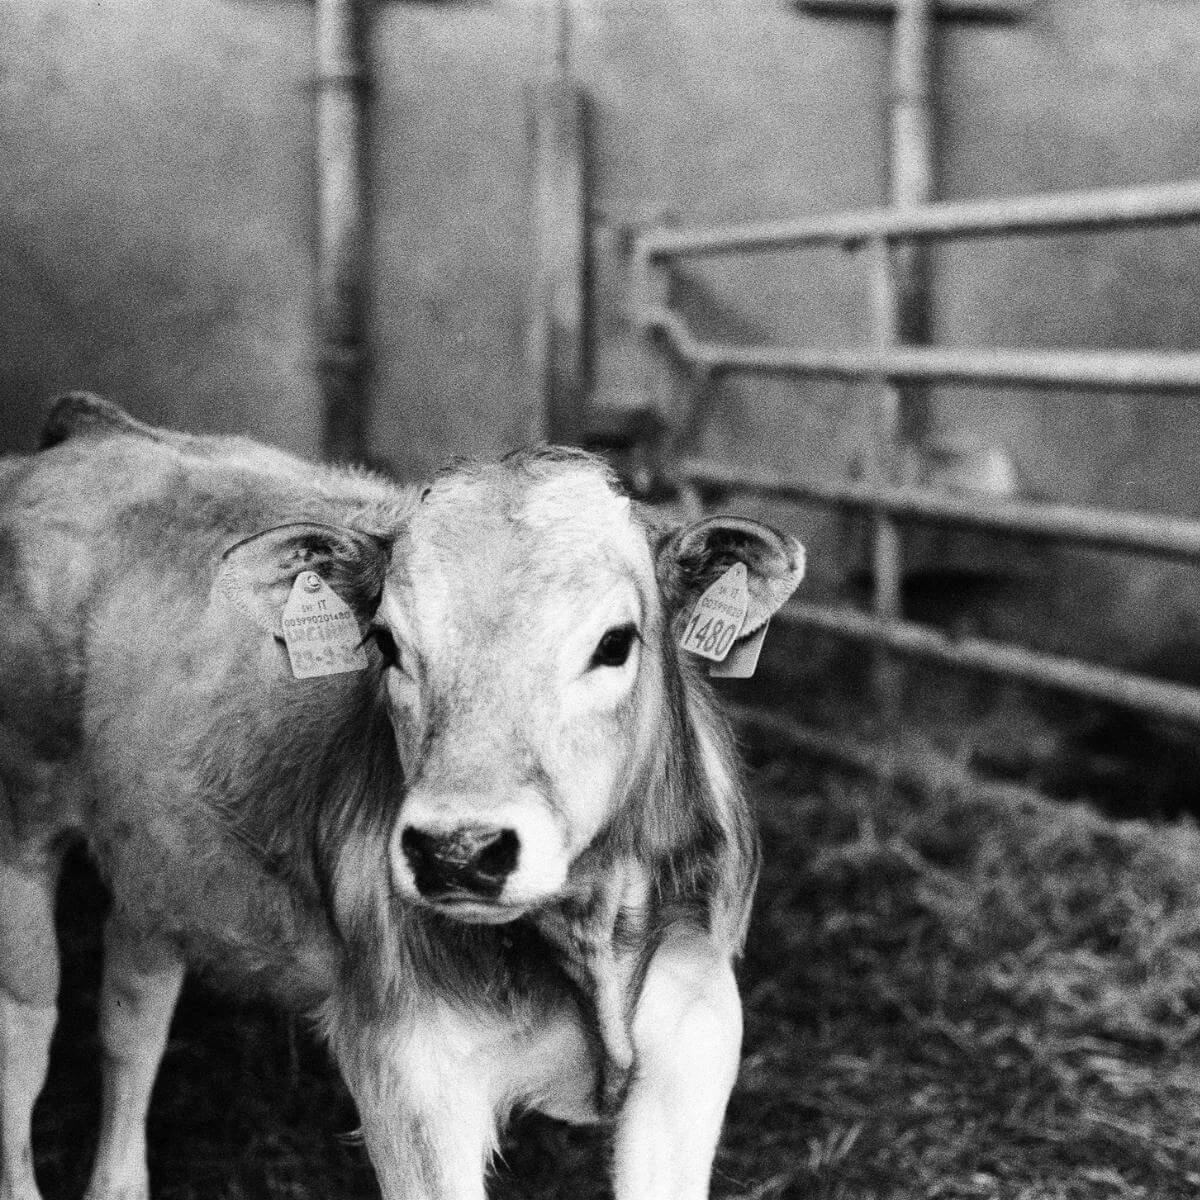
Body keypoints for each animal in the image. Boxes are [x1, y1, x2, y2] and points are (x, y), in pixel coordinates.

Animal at [0, 393, 805, 1200]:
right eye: (386, 643)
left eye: (615, 643)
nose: (458, 851)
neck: (589, 938)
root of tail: (100, 430)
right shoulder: (408, 1070)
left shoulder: (697, 1032)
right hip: (21, 830)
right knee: (26, 1033)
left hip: (160, 861)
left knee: (132, 1009)